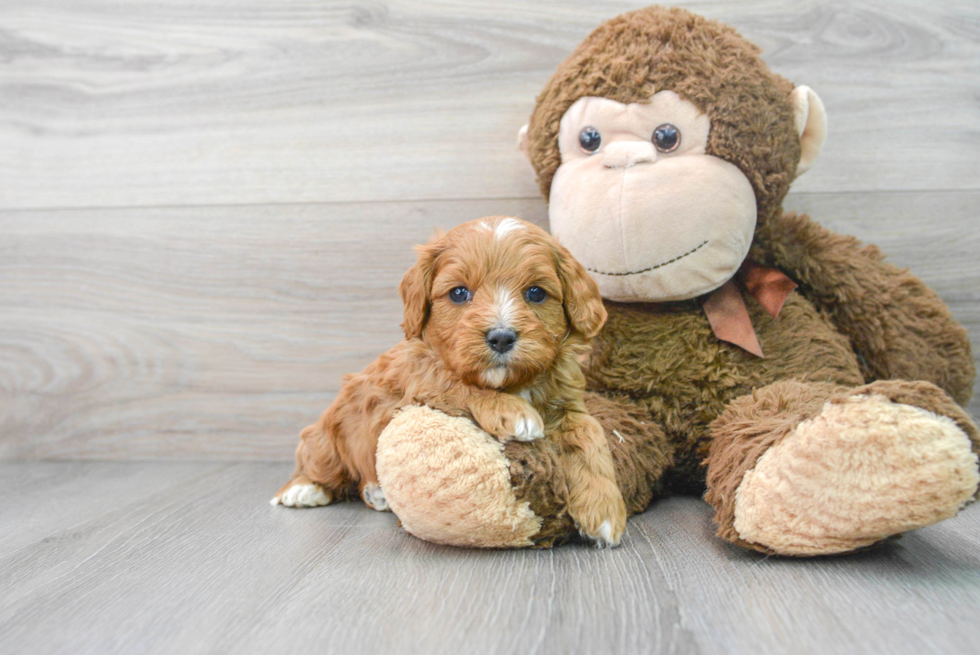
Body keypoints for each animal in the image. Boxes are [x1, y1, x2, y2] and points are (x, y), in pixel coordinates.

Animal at [274, 217, 628, 548]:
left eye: (536, 293)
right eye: (459, 293)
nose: (501, 337)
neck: (512, 384)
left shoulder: (567, 403)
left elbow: (590, 432)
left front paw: (605, 511)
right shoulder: (421, 379)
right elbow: (457, 384)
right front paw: (514, 413)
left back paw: (376, 493)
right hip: (329, 439)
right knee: (317, 461)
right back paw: (303, 489)